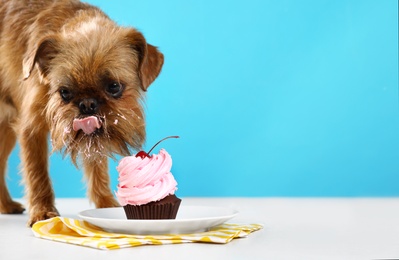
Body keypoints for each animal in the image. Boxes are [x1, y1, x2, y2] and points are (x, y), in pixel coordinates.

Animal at [0, 0, 164, 225]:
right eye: (64, 92)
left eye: (114, 87)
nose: (87, 104)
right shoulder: (31, 130)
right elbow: (37, 173)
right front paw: (43, 212)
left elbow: (97, 168)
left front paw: (106, 205)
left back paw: (6, 205)